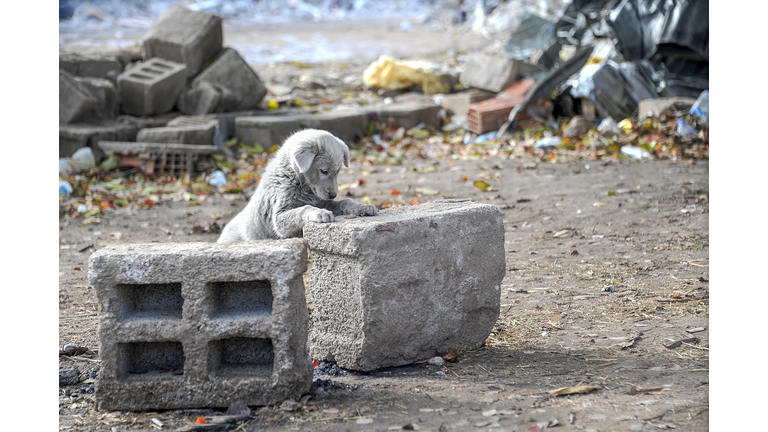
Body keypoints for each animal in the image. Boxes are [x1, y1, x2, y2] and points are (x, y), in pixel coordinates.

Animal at [218, 128, 376, 243]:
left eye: (337, 172)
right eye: (324, 171)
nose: (333, 194)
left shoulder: (324, 201)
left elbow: (345, 201)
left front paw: (363, 206)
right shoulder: (278, 217)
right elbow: (303, 209)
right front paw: (319, 213)